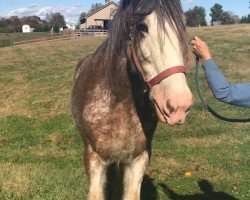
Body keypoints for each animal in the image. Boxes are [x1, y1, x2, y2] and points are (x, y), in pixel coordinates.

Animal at [71, 0, 192, 200]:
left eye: (183, 24)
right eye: (142, 27)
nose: (179, 104)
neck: (119, 102)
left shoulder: (138, 160)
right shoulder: (94, 160)